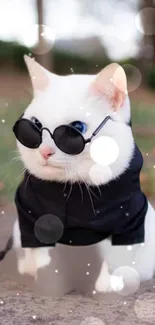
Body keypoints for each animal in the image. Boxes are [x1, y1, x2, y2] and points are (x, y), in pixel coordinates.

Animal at [2, 54, 155, 292]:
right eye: (35, 125)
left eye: (76, 129)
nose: (45, 151)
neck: (72, 189)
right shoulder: (32, 218)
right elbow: (45, 258)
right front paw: (48, 282)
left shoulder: (128, 222)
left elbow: (114, 262)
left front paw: (108, 287)